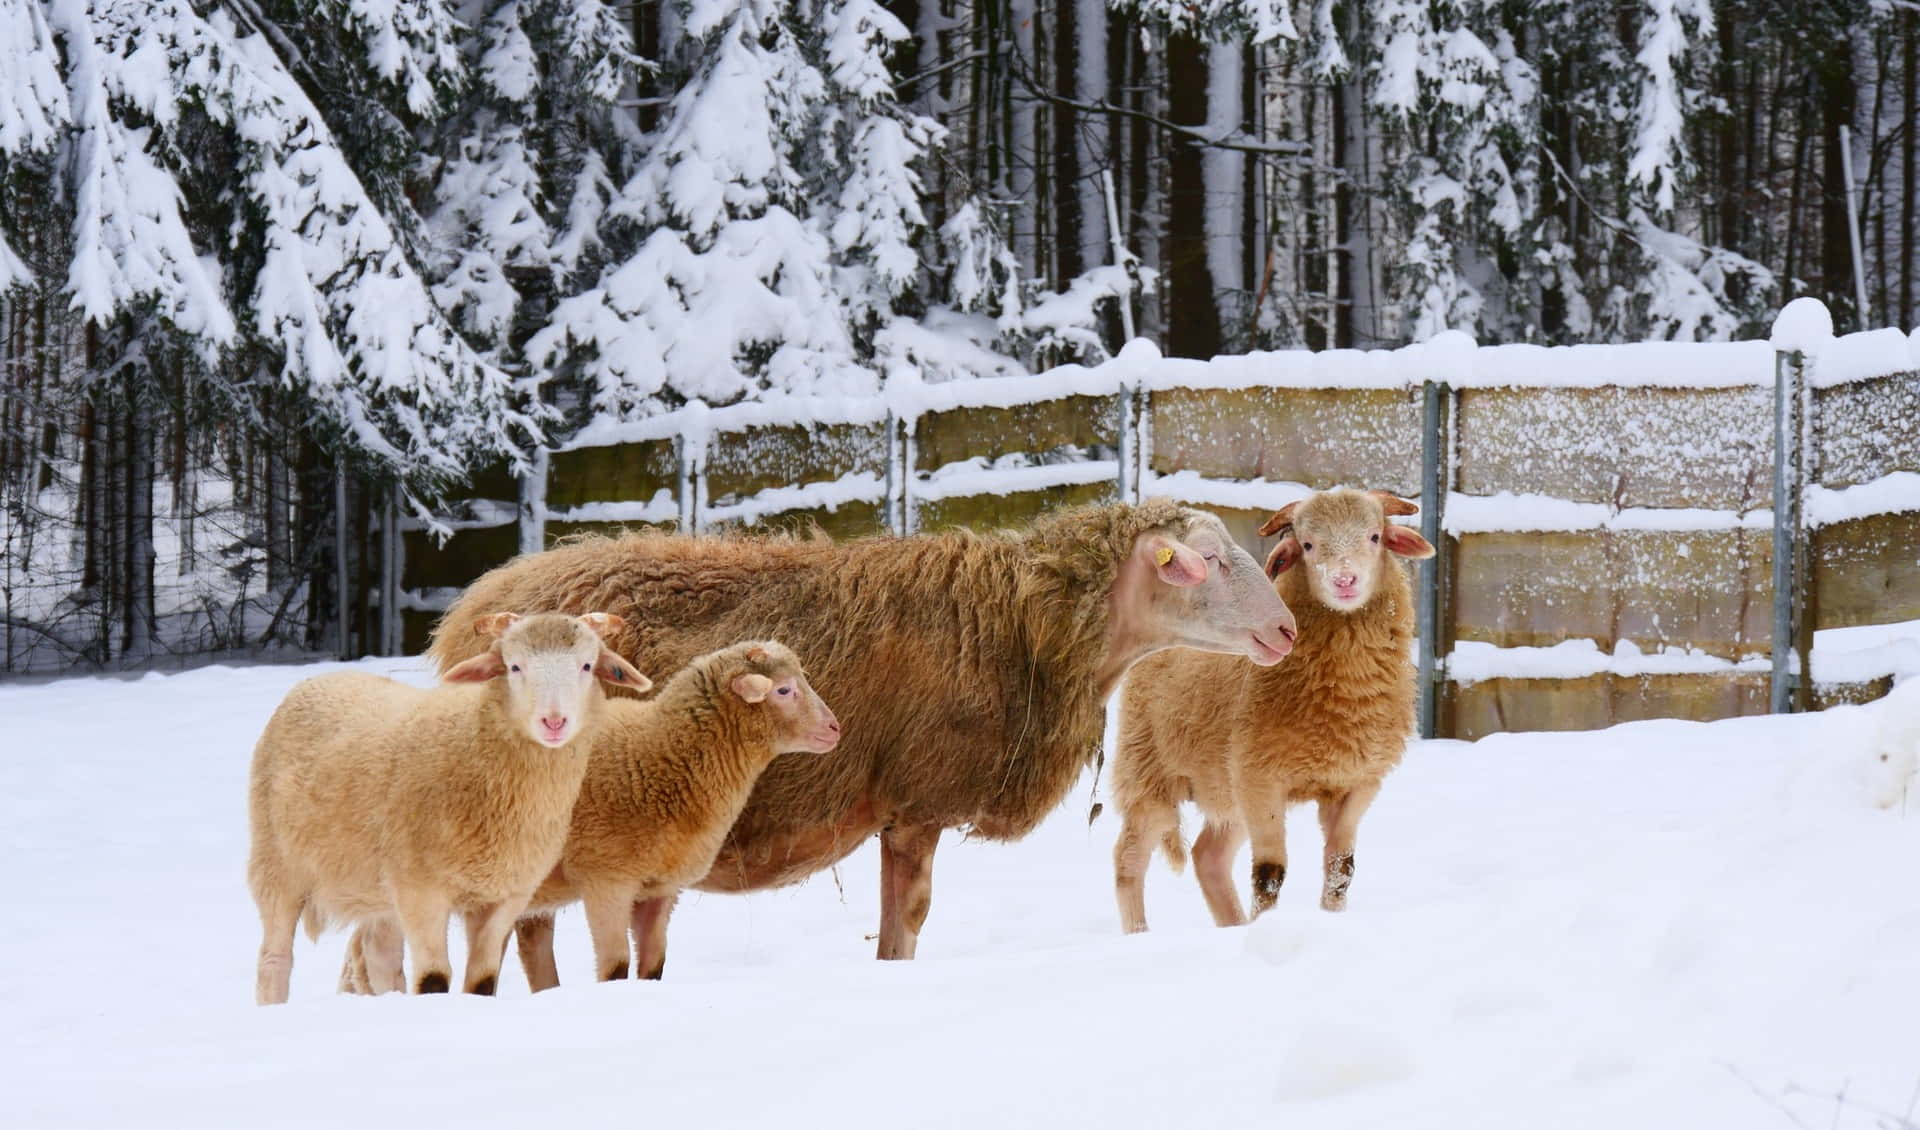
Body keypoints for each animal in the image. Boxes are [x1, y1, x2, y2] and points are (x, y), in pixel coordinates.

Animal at [243, 613, 648, 997]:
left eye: (586, 666)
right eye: (515, 666)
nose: (554, 722)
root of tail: (321, 678)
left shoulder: (504, 897)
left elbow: (482, 981)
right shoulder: (421, 893)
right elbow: (434, 980)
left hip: (378, 888)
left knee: (380, 956)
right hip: (277, 865)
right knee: (274, 958)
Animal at [416, 498, 1290, 955]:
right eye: (1209, 562)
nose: (1286, 631)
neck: (1022, 624)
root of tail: (466, 612)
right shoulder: (917, 802)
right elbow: (907, 921)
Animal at [1105, 487, 1436, 932]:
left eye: (1375, 536)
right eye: (1308, 545)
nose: (1344, 581)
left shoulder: (1358, 781)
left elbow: (1341, 869)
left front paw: (1328, 920)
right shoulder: (1261, 781)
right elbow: (1269, 875)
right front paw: (1267, 924)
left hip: (1224, 788)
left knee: (1208, 857)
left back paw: (1233, 925)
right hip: (1148, 771)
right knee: (1129, 860)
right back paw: (1139, 933)